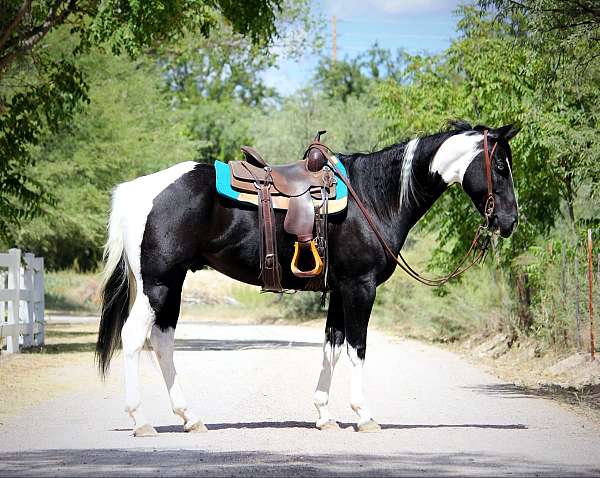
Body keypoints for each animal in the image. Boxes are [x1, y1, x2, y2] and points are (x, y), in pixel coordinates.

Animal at [96, 120, 516, 436]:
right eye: (499, 167)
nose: (509, 221)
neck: (374, 198)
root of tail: (137, 190)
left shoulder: (339, 290)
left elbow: (332, 346)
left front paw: (324, 415)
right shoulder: (360, 287)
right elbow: (357, 348)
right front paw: (364, 415)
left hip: (171, 285)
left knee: (162, 341)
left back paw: (190, 418)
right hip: (157, 284)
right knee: (134, 339)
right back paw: (141, 421)